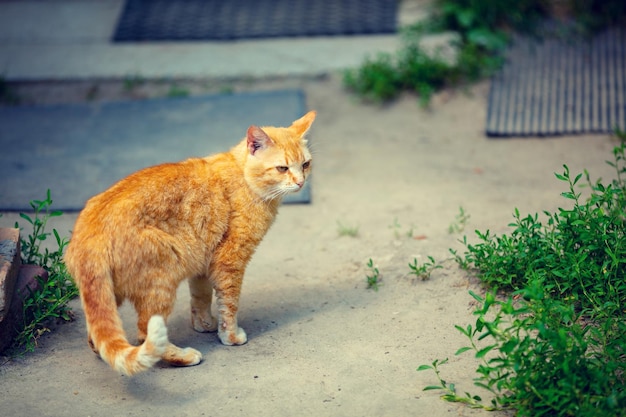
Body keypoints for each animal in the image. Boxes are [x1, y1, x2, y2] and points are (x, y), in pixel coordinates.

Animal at [66, 109, 314, 374]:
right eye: (282, 168)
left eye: (305, 164)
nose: (300, 182)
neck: (244, 178)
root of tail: (90, 234)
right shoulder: (230, 263)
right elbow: (229, 305)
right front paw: (230, 337)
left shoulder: (203, 261)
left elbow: (201, 298)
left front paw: (204, 324)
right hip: (162, 280)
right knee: (144, 334)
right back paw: (183, 357)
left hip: (110, 294)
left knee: (96, 334)